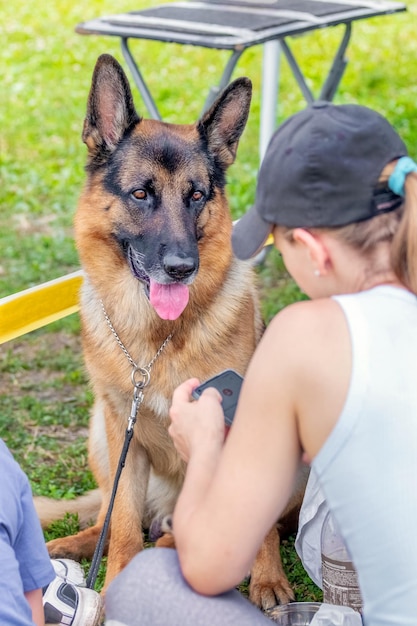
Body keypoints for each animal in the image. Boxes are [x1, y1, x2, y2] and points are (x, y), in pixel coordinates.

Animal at [35, 52, 306, 604]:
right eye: (141, 193)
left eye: (197, 196)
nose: (182, 268)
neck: (155, 340)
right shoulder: (123, 429)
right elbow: (121, 525)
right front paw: (110, 589)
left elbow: (256, 521)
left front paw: (268, 578)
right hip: (102, 433)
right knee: (114, 516)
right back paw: (70, 545)